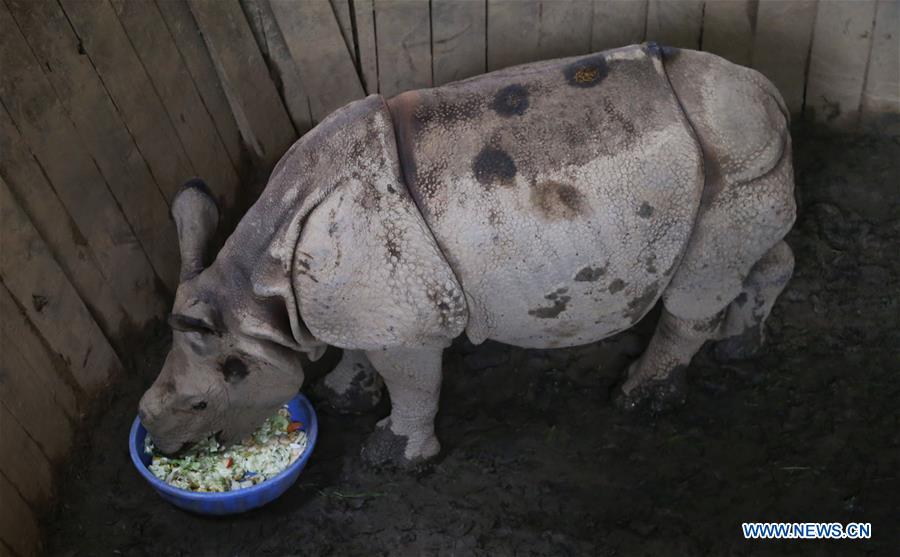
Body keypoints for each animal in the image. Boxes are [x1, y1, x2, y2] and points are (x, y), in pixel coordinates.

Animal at [139, 44, 796, 467]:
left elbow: (411, 384)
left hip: (729, 157)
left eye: (200, 403)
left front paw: (391, 457)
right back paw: (740, 346)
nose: (163, 443)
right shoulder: (357, 302)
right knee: (752, 255)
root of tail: (769, 93)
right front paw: (341, 396)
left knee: (696, 287)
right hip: (742, 170)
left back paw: (638, 398)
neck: (253, 295)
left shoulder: (405, 319)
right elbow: (356, 349)